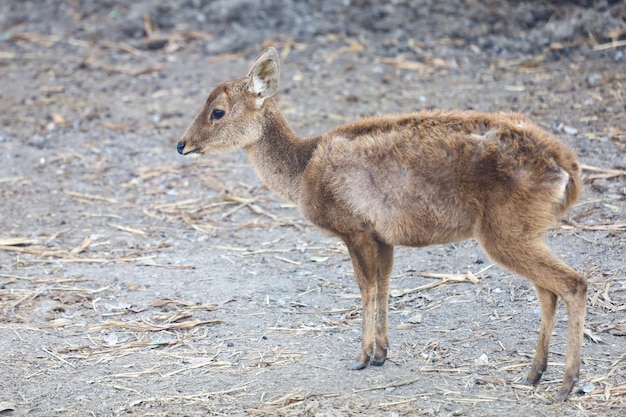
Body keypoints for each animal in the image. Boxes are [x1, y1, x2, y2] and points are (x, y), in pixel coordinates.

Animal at [176, 46, 584, 400]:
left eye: (217, 112)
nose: (181, 144)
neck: (302, 170)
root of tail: (568, 170)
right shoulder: (383, 235)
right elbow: (386, 284)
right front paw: (382, 353)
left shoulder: (353, 226)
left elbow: (366, 286)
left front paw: (361, 357)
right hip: (526, 229)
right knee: (548, 290)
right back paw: (533, 374)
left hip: (504, 231)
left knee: (573, 283)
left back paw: (566, 384)